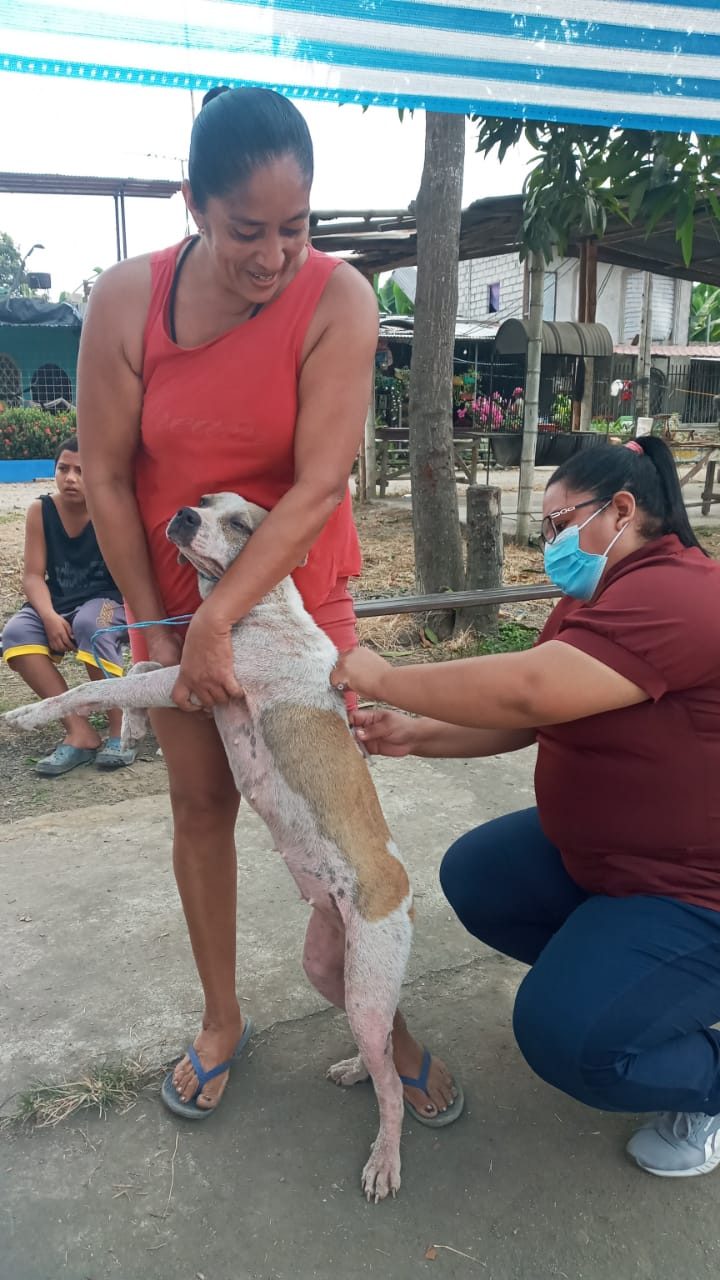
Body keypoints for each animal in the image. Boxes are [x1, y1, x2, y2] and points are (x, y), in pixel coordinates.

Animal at [5, 494, 414, 1202]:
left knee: (392, 1087)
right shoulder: (188, 684)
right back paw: (358, 1069)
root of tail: (405, 888)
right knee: (382, 1049)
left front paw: (30, 716)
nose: (183, 516)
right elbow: (136, 666)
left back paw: (384, 1157)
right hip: (333, 969)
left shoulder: (196, 680)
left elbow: (97, 685)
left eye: (241, 523)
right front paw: (134, 731)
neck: (257, 606)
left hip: (364, 986)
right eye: (204, 501)